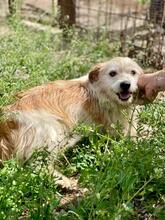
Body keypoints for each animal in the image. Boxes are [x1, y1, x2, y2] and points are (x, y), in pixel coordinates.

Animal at [0, 57, 143, 163]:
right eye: (112, 73)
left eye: (133, 72)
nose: (125, 84)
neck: (100, 92)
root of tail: (6, 120)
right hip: (54, 134)